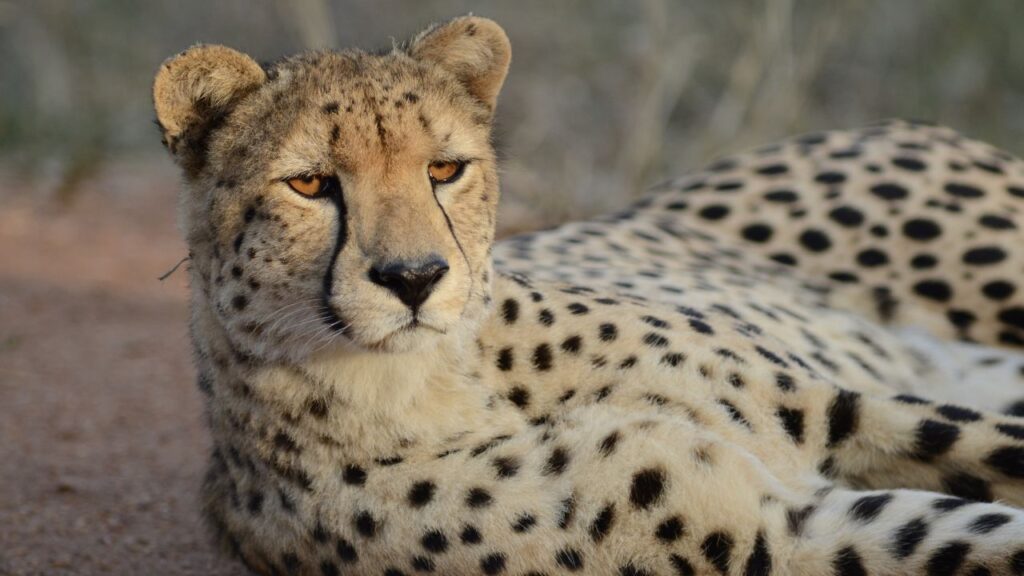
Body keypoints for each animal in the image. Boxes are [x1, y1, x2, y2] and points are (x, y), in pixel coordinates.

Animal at [153, 15, 1024, 576]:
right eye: (310, 184)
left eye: (444, 169)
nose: (414, 279)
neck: (442, 384)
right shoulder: (795, 533)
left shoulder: (840, 409)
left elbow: (991, 446)